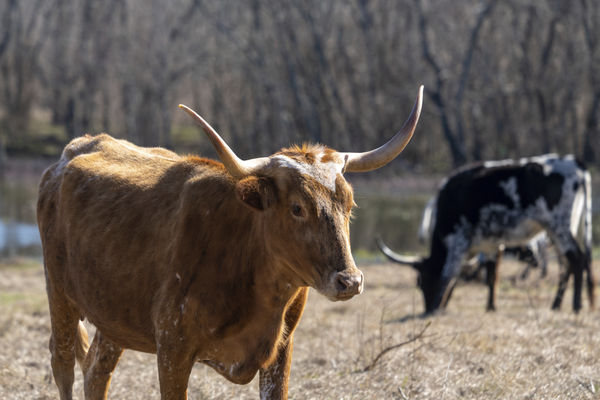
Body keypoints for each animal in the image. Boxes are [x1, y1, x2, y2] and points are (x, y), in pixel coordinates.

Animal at [36, 86, 422, 398]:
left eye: (349, 204)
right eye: (297, 207)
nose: (350, 281)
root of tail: (75, 149)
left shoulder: (281, 349)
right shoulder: (172, 347)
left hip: (113, 314)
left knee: (96, 370)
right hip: (59, 294)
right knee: (63, 363)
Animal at [378, 155, 592, 314]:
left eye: (422, 281)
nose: (427, 308)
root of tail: (574, 162)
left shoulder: (457, 241)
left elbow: (448, 275)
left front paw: (437, 308)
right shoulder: (490, 245)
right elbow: (492, 276)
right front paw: (491, 307)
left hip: (559, 226)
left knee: (577, 259)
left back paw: (576, 306)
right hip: (560, 229)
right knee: (566, 264)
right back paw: (556, 305)